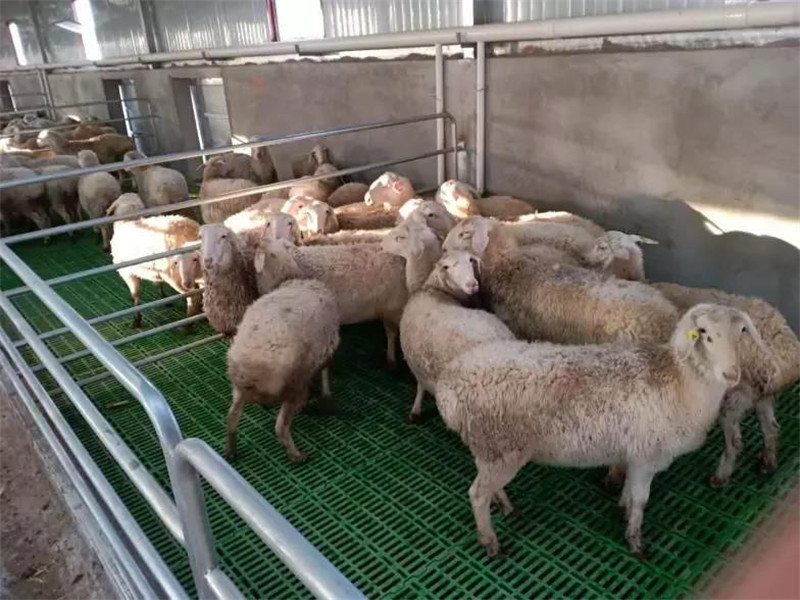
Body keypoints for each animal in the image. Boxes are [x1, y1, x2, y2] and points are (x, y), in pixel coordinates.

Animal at [107, 193, 202, 329]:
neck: (129, 218)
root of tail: (189, 230)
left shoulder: (127, 273)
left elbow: (135, 294)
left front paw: (137, 320)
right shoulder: (154, 270)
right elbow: (157, 283)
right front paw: (164, 297)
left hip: (176, 275)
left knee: (193, 296)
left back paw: (188, 325)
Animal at [396, 249, 515, 423]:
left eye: (470, 260)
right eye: (447, 267)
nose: (472, 284)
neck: (434, 291)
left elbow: (420, 386)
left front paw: (415, 409)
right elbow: (420, 386)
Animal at [435, 303, 763, 557]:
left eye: (742, 332)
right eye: (704, 333)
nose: (731, 374)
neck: (681, 381)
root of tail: (448, 386)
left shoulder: (633, 454)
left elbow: (629, 492)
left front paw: (621, 509)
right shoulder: (647, 456)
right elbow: (641, 501)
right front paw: (635, 541)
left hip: (489, 450)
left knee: (487, 486)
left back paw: (504, 505)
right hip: (501, 450)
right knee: (476, 495)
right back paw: (490, 542)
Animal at [653, 282, 800, 485]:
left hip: (733, 397)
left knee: (735, 443)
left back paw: (720, 477)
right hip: (761, 396)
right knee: (771, 428)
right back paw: (768, 463)